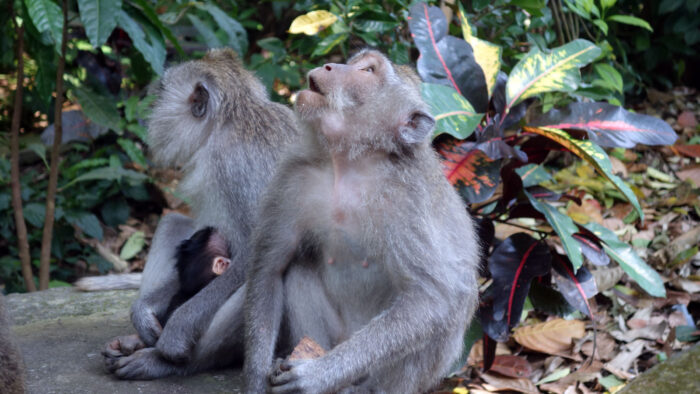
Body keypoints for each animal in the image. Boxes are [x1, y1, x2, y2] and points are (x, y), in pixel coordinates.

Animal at [104, 47, 300, 380]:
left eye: (162, 91)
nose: (148, 110)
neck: (235, 118)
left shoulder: (233, 165)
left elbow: (254, 253)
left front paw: (175, 333)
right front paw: (144, 313)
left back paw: (166, 362)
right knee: (171, 221)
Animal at [243, 50, 478, 394]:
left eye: (367, 71)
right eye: (355, 62)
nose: (330, 65)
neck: (351, 162)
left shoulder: (406, 200)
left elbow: (430, 299)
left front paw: (316, 376)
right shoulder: (295, 176)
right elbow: (269, 269)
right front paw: (257, 381)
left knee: (447, 308)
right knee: (296, 271)